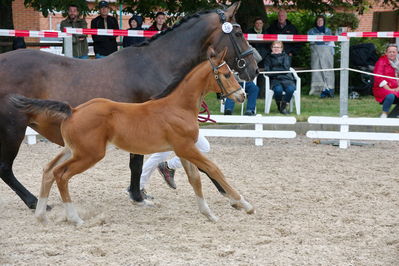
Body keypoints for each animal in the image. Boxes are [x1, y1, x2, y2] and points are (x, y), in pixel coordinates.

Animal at [12, 47, 256, 224]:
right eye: (226, 74)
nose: (242, 96)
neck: (178, 107)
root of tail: (74, 110)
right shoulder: (186, 148)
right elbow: (214, 169)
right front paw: (245, 205)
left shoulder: (183, 150)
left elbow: (195, 179)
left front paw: (210, 215)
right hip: (89, 155)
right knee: (61, 175)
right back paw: (75, 219)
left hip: (73, 150)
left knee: (49, 170)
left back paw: (42, 215)